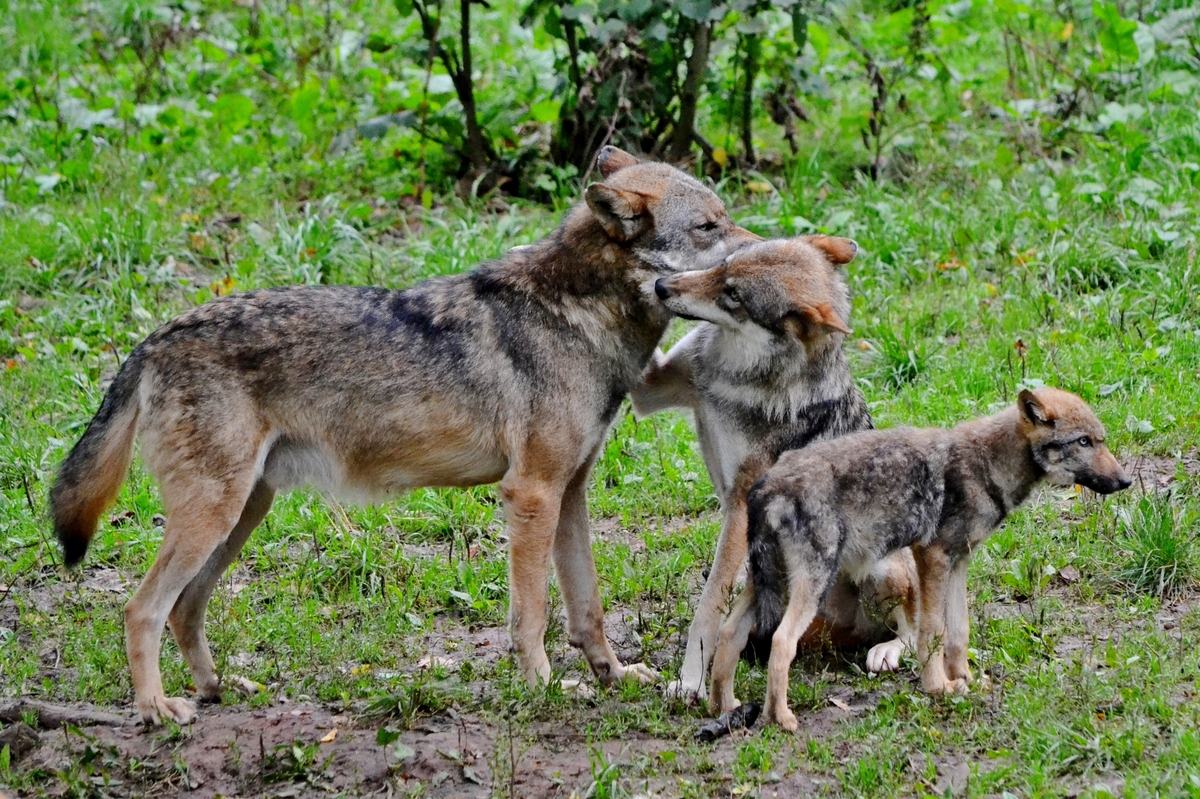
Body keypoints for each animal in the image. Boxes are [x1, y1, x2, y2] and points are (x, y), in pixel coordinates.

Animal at [50, 146, 761, 725]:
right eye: (710, 226)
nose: (764, 250)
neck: (578, 311)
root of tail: (154, 338)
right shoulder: (531, 494)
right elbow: (531, 615)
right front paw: (542, 688)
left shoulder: (570, 493)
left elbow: (586, 609)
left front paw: (613, 677)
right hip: (214, 515)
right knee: (141, 609)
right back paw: (155, 709)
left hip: (241, 515)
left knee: (183, 609)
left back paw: (217, 689)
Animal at [630, 236, 919, 704]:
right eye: (722, 265)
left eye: (733, 296)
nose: (661, 287)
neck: (731, 376)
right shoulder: (649, 387)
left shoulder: (740, 508)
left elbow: (706, 608)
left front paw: (690, 682)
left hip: (880, 569)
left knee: (915, 630)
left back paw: (887, 652)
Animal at [709, 387, 1131, 730]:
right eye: (1083, 442)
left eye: (1100, 441)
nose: (1126, 481)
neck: (987, 464)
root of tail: (765, 483)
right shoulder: (933, 556)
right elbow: (933, 631)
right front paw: (938, 688)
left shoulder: (959, 562)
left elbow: (959, 632)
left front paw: (966, 680)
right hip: (821, 583)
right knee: (782, 642)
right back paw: (781, 718)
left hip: (775, 582)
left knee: (728, 633)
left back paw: (723, 706)